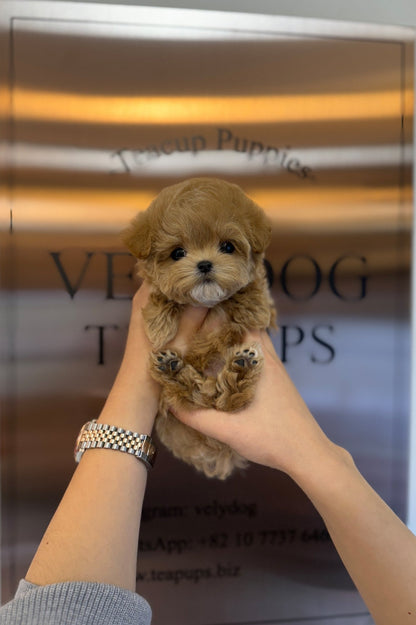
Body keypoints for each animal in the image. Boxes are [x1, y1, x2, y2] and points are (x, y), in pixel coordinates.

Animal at [122, 177, 276, 478]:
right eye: (177, 253)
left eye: (227, 247)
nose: (204, 264)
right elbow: (163, 295)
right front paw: (158, 322)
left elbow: (253, 293)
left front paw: (251, 306)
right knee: (192, 393)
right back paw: (172, 368)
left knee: (228, 399)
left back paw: (241, 368)